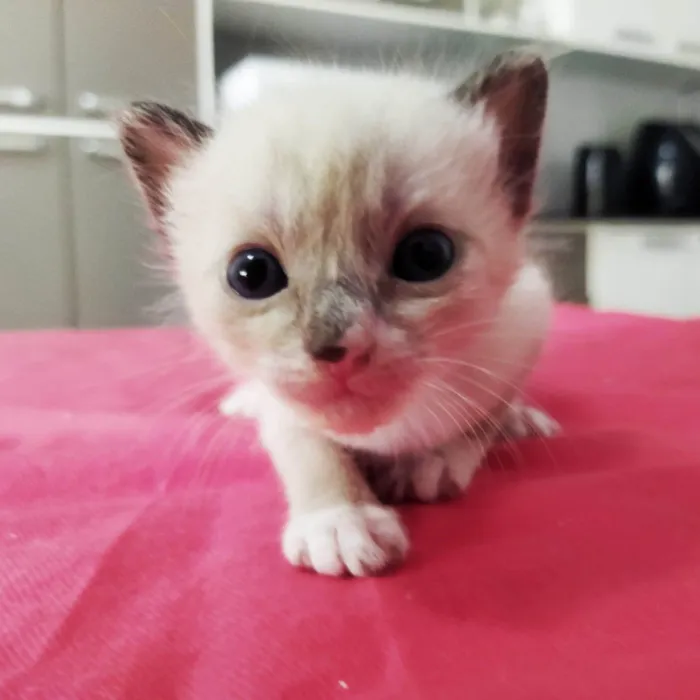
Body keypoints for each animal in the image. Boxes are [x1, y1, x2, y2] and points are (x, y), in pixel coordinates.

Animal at [120, 52, 556, 580]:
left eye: (426, 256)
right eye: (251, 274)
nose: (335, 349)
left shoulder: (523, 327)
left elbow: (480, 417)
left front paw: (431, 459)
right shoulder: (286, 401)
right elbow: (308, 445)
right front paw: (341, 520)